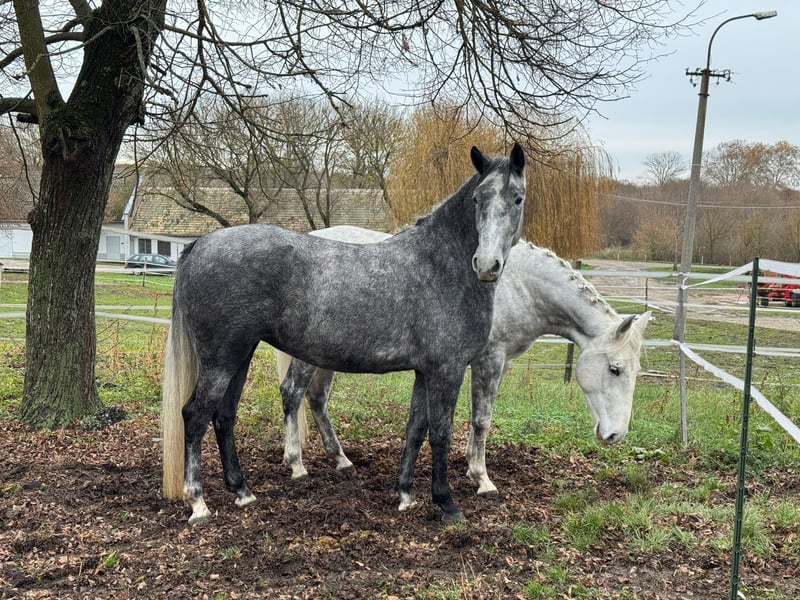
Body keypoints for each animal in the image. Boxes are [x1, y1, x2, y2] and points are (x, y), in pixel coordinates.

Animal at [161, 143, 527, 525]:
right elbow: (440, 434)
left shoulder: (424, 371)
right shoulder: (447, 370)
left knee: (224, 416)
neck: (441, 267)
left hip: (240, 355)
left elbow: (415, 429)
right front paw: (447, 504)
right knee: (196, 415)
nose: (486, 265)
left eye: (517, 198)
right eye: (477, 198)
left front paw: (406, 494)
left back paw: (243, 491)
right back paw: (198, 502)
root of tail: (199, 246)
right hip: (221, 359)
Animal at [275, 230, 650, 496]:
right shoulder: (488, 360)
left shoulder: (489, 363)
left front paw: (471, 466)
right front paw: (482, 479)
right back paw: (296, 464)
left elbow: (473, 418)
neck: (517, 285)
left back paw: (340, 459)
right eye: (614, 369)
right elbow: (481, 419)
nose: (616, 434)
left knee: (317, 399)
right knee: (293, 393)